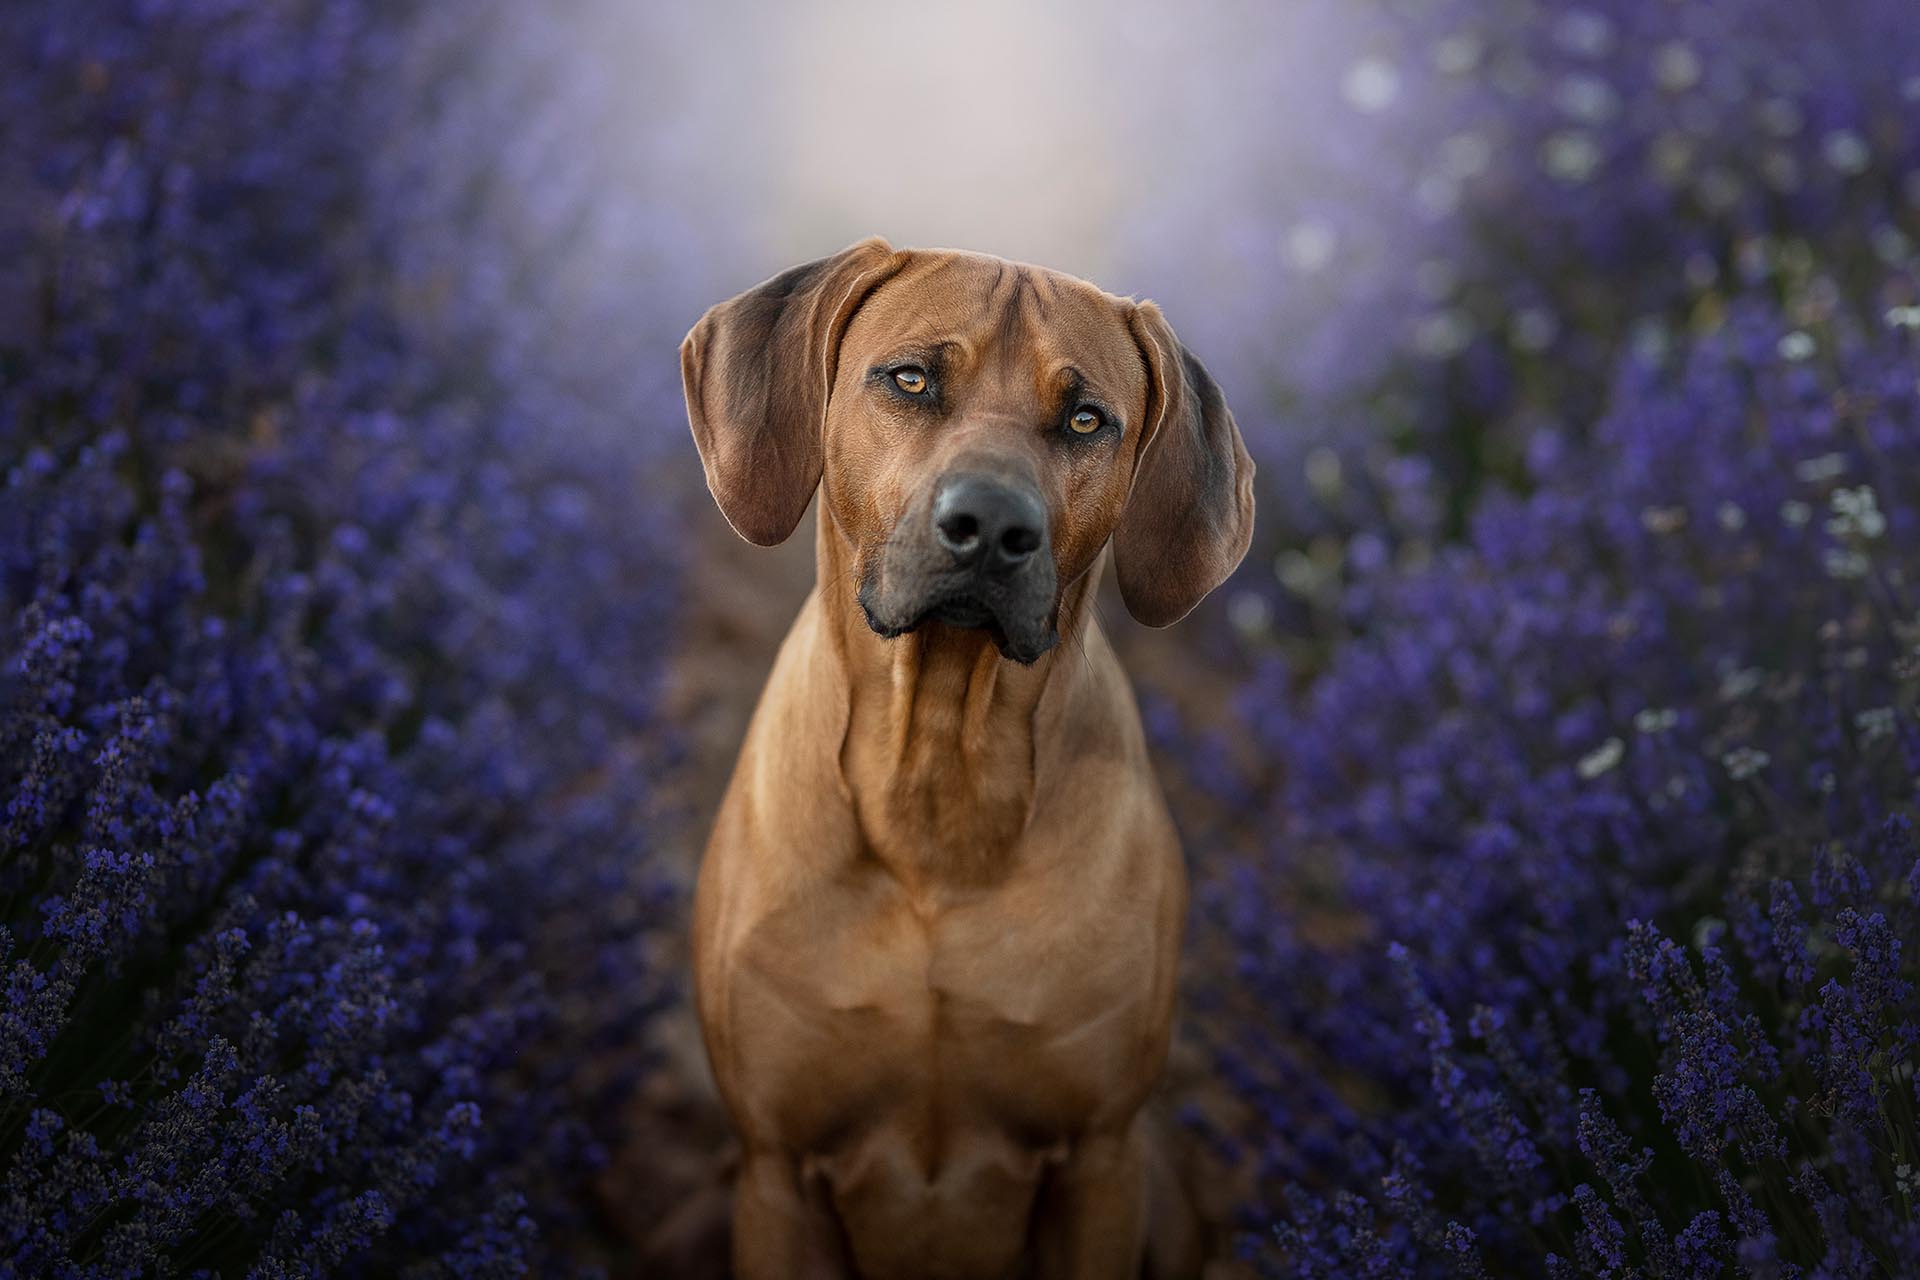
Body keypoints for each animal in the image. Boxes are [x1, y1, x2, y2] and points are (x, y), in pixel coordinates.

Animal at [683, 235, 1251, 1274]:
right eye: (911, 379)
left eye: (1084, 419)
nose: (991, 526)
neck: (936, 786)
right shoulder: (775, 1171)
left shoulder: (1103, 1161)